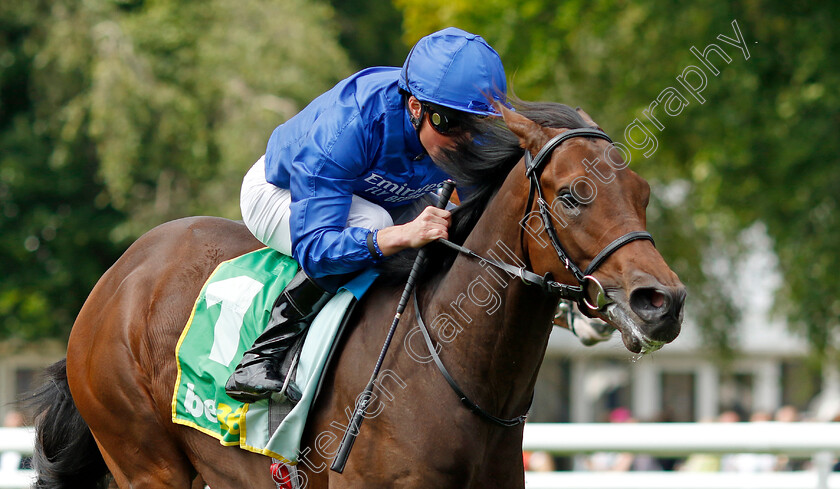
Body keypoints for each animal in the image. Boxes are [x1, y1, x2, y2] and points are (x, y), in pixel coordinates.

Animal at [29, 103, 684, 488]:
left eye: (644, 193)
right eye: (573, 195)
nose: (662, 302)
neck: (445, 371)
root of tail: (119, 275)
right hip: (146, 461)